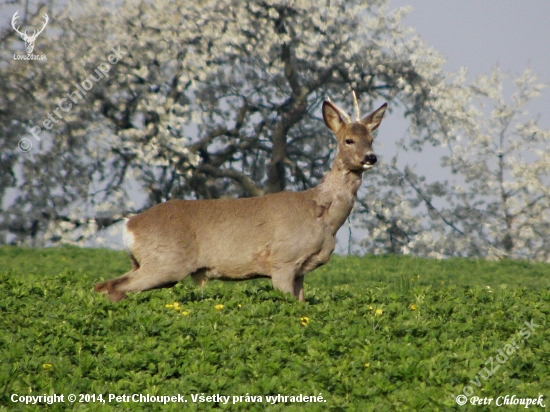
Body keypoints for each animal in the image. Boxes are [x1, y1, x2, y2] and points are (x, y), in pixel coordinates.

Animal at [95, 92, 388, 302]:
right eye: (349, 140)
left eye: (372, 139)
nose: (370, 158)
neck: (322, 215)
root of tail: (129, 225)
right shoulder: (283, 261)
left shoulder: (301, 270)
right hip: (167, 262)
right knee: (115, 287)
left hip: (145, 263)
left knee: (105, 285)